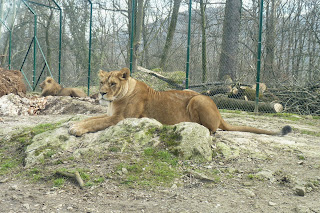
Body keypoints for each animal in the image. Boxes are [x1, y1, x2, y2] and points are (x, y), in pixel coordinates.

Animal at [69, 67, 292, 136]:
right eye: (101, 82)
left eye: (113, 84)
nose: (101, 94)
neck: (114, 101)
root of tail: (220, 113)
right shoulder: (111, 114)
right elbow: (91, 118)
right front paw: (75, 124)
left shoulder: (121, 118)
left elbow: (97, 122)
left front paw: (77, 129)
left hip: (197, 99)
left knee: (212, 129)